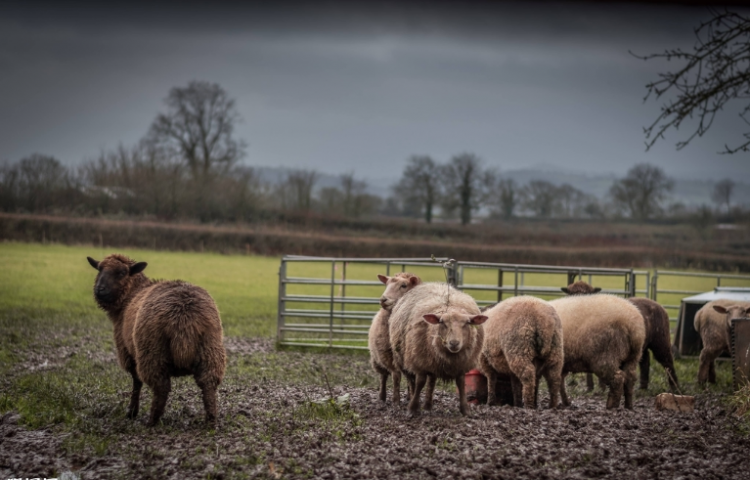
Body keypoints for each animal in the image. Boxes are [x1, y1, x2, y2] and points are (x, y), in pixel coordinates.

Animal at [86, 253, 225, 426]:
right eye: (99, 269)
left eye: (122, 273)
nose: (100, 289)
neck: (131, 294)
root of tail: (184, 317)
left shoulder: (128, 353)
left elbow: (136, 382)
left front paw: (132, 412)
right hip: (210, 349)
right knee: (208, 385)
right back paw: (210, 421)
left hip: (152, 352)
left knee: (161, 388)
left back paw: (152, 421)